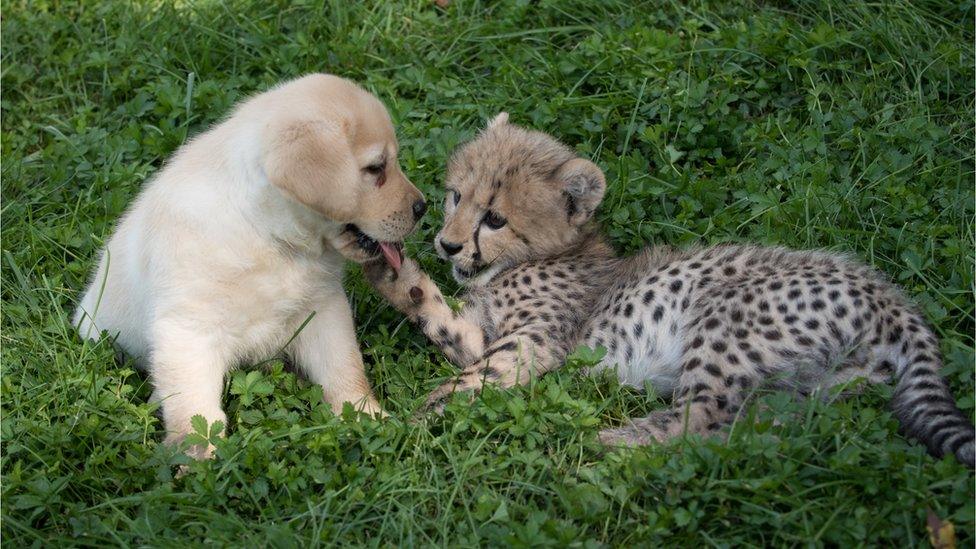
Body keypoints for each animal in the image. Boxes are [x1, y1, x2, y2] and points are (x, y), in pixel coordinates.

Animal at [74, 76, 426, 454]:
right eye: (376, 168)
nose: (422, 207)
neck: (267, 234)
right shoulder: (187, 330)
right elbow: (193, 407)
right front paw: (198, 455)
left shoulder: (323, 308)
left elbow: (343, 367)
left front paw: (365, 416)